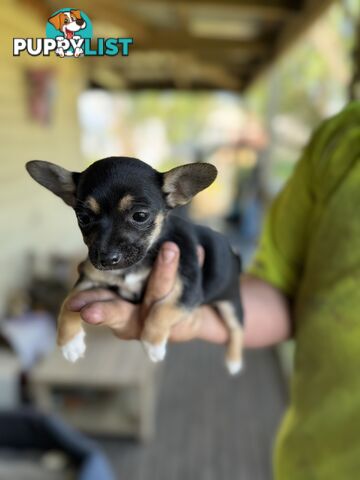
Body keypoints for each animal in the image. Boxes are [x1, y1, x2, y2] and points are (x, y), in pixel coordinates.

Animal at [26, 158, 245, 376]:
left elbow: (161, 309)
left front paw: (152, 344)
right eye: (83, 218)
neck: (134, 266)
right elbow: (69, 300)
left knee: (237, 328)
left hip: (231, 303)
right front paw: (69, 342)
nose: (106, 258)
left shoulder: (188, 291)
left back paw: (234, 361)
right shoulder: (89, 278)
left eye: (140, 216)